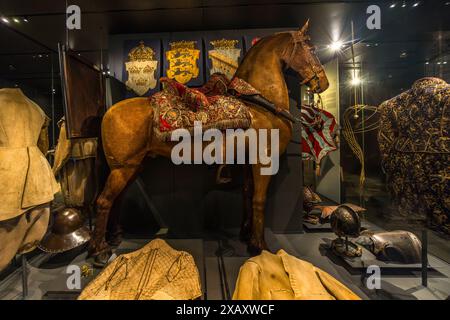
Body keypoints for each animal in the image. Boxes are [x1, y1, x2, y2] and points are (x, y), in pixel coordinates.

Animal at [89, 20, 328, 264]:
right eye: (311, 49)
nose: (323, 83)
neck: (259, 104)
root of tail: (108, 113)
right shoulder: (264, 161)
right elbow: (259, 201)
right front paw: (260, 247)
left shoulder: (248, 162)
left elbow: (247, 195)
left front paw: (246, 235)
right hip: (123, 168)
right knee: (104, 201)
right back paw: (100, 251)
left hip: (134, 165)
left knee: (118, 199)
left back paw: (115, 237)